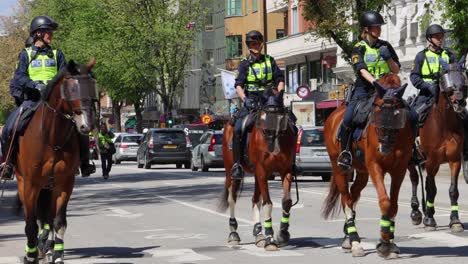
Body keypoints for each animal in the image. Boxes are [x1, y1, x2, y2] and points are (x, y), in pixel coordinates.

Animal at [16, 59, 98, 264]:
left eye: (92, 89)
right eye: (72, 89)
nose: (86, 125)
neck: (53, 138)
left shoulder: (64, 183)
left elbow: (58, 221)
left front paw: (58, 255)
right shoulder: (30, 184)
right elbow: (31, 223)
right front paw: (31, 256)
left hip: (48, 187)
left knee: (47, 218)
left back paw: (46, 247)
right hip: (24, 183)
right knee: (33, 218)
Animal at [217, 96, 294, 251]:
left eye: (281, 119)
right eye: (262, 119)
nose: (273, 149)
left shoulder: (286, 171)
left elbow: (286, 202)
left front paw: (283, 233)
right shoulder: (262, 170)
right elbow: (268, 204)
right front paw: (270, 239)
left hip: (258, 175)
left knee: (255, 199)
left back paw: (259, 234)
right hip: (231, 172)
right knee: (232, 198)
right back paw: (234, 234)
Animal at [324, 73, 412, 258]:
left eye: (398, 114)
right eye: (377, 112)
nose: (384, 147)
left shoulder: (399, 170)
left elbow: (393, 205)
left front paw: (389, 242)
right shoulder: (375, 166)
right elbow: (385, 202)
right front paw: (384, 243)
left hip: (362, 173)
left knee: (352, 197)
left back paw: (348, 238)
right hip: (340, 168)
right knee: (346, 200)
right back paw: (355, 242)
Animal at [408, 65, 466, 231]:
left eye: (463, 82)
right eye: (449, 87)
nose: (460, 102)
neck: (445, 123)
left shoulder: (454, 160)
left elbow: (453, 191)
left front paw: (455, 220)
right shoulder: (431, 160)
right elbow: (432, 188)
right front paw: (429, 220)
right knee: (415, 179)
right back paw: (416, 212)